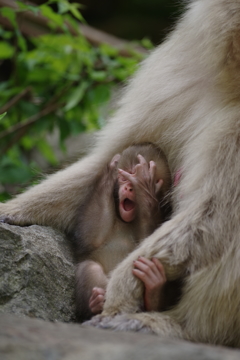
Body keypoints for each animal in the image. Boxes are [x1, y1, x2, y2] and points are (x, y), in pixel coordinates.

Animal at [74, 143, 172, 320]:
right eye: (125, 177)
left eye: (134, 179)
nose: (130, 187)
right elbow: (89, 238)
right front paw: (111, 169)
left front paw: (145, 189)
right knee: (90, 267)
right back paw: (96, 305)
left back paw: (153, 287)